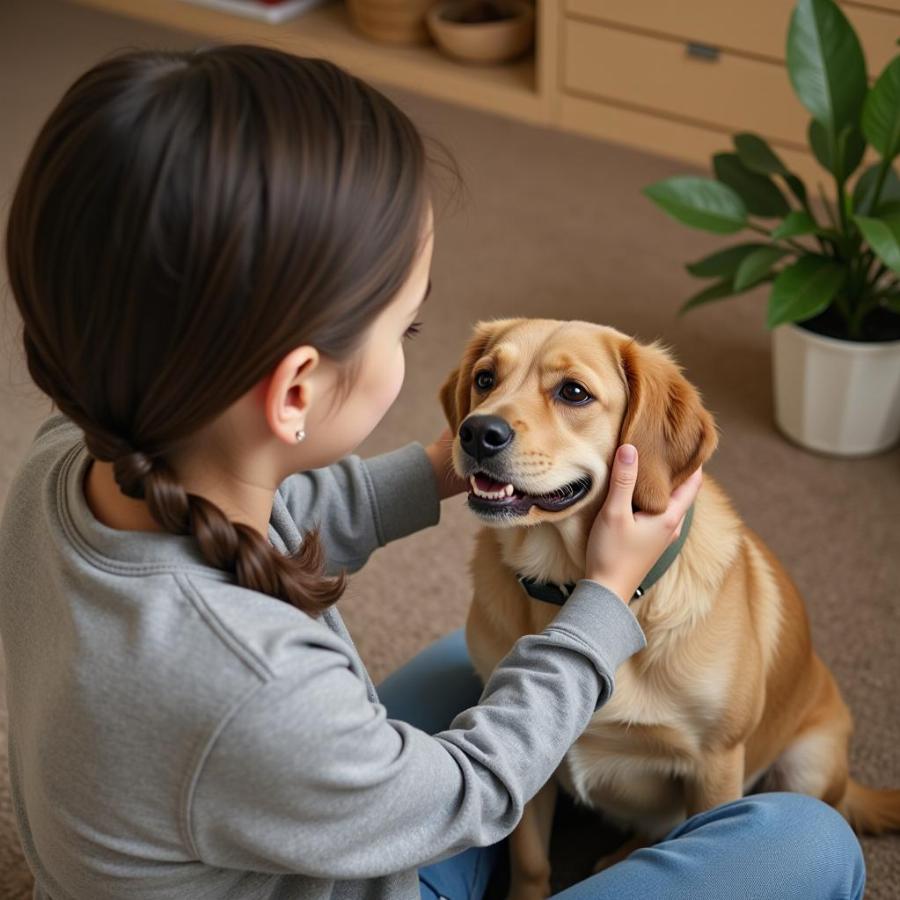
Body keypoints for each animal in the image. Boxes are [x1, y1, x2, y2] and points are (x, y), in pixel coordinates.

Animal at [438, 318, 900, 900]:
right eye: (485, 379)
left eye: (573, 392)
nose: (477, 432)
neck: (570, 588)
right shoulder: (525, 759)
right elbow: (530, 861)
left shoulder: (716, 765)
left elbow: (699, 829)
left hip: (807, 763)